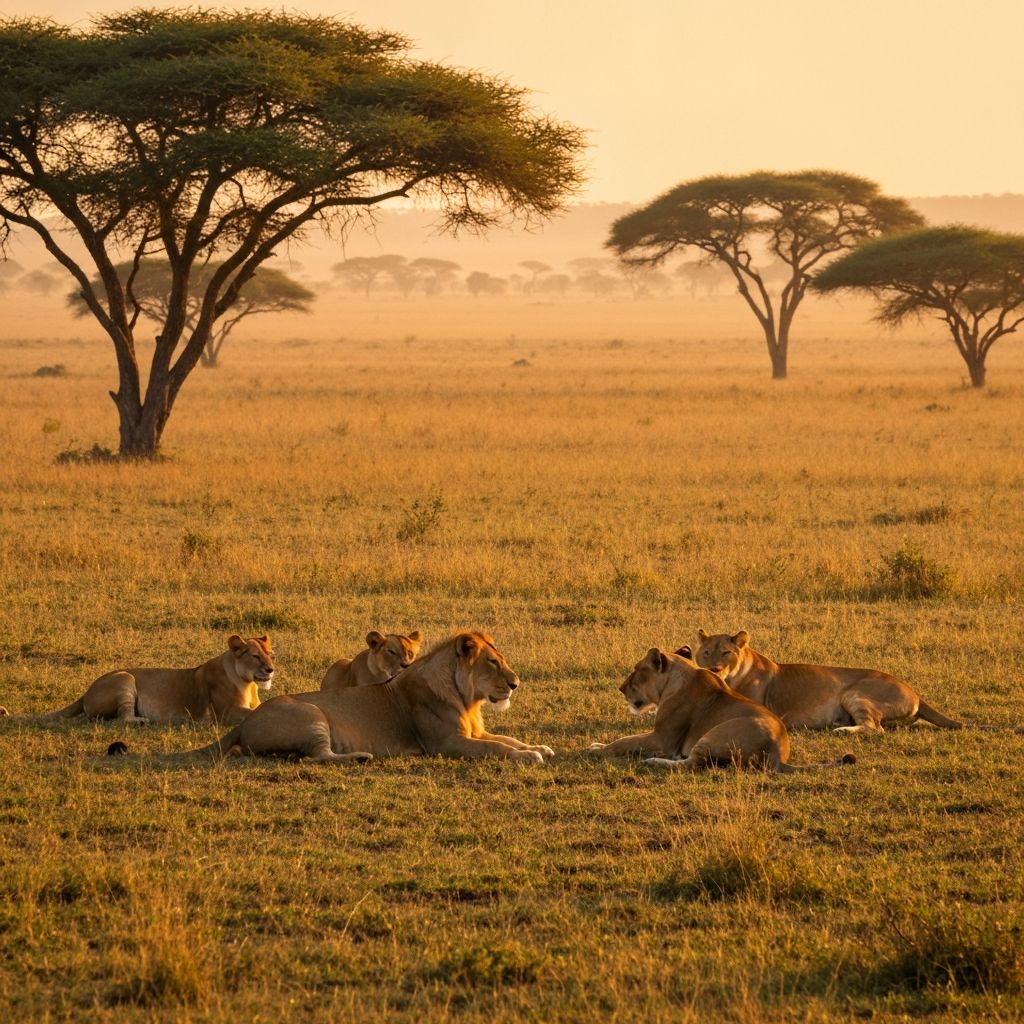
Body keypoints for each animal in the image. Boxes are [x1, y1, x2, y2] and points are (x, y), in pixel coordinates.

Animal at [19, 634, 274, 725]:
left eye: (270, 654)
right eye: (255, 656)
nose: (271, 670)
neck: (249, 683)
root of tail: (85, 692)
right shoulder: (227, 712)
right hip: (124, 678)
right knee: (122, 719)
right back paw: (143, 720)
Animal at [123, 632, 553, 765]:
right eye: (493, 663)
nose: (516, 684)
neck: (468, 697)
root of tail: (245, 722)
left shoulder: (474, 733)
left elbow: (506, 739)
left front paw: (540, 747)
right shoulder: (447, 743)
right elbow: (497, 749)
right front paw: (530, 756)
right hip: (313, 715)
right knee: (316, 757)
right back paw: (361, 757)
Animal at [586, 646, 853, 772]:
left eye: (637, 670)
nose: (621, 688)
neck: (679, 676)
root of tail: (777, 753)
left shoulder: (663, 739)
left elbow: (623, 742)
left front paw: (595, 749)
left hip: (711, 735)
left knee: (691, 765)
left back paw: (652, 761)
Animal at [695, 629, 962, 734]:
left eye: (726, 652)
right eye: (706, 652)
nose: (714, 669)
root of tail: (916, 693)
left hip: (855, 693)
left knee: (874, 728)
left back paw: (841, 730)